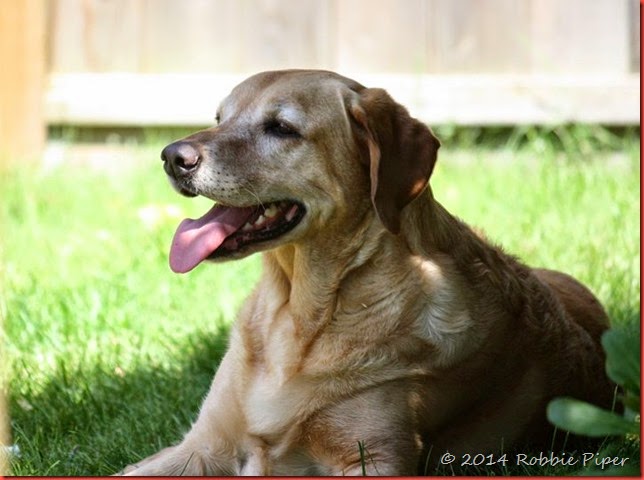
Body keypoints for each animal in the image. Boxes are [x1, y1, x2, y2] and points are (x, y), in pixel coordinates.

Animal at [119, 70, 612, 475]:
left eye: (281, 128)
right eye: (219, 118)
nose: (171, 156)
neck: (298, 314)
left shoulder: (373, 457)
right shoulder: (200, 446)